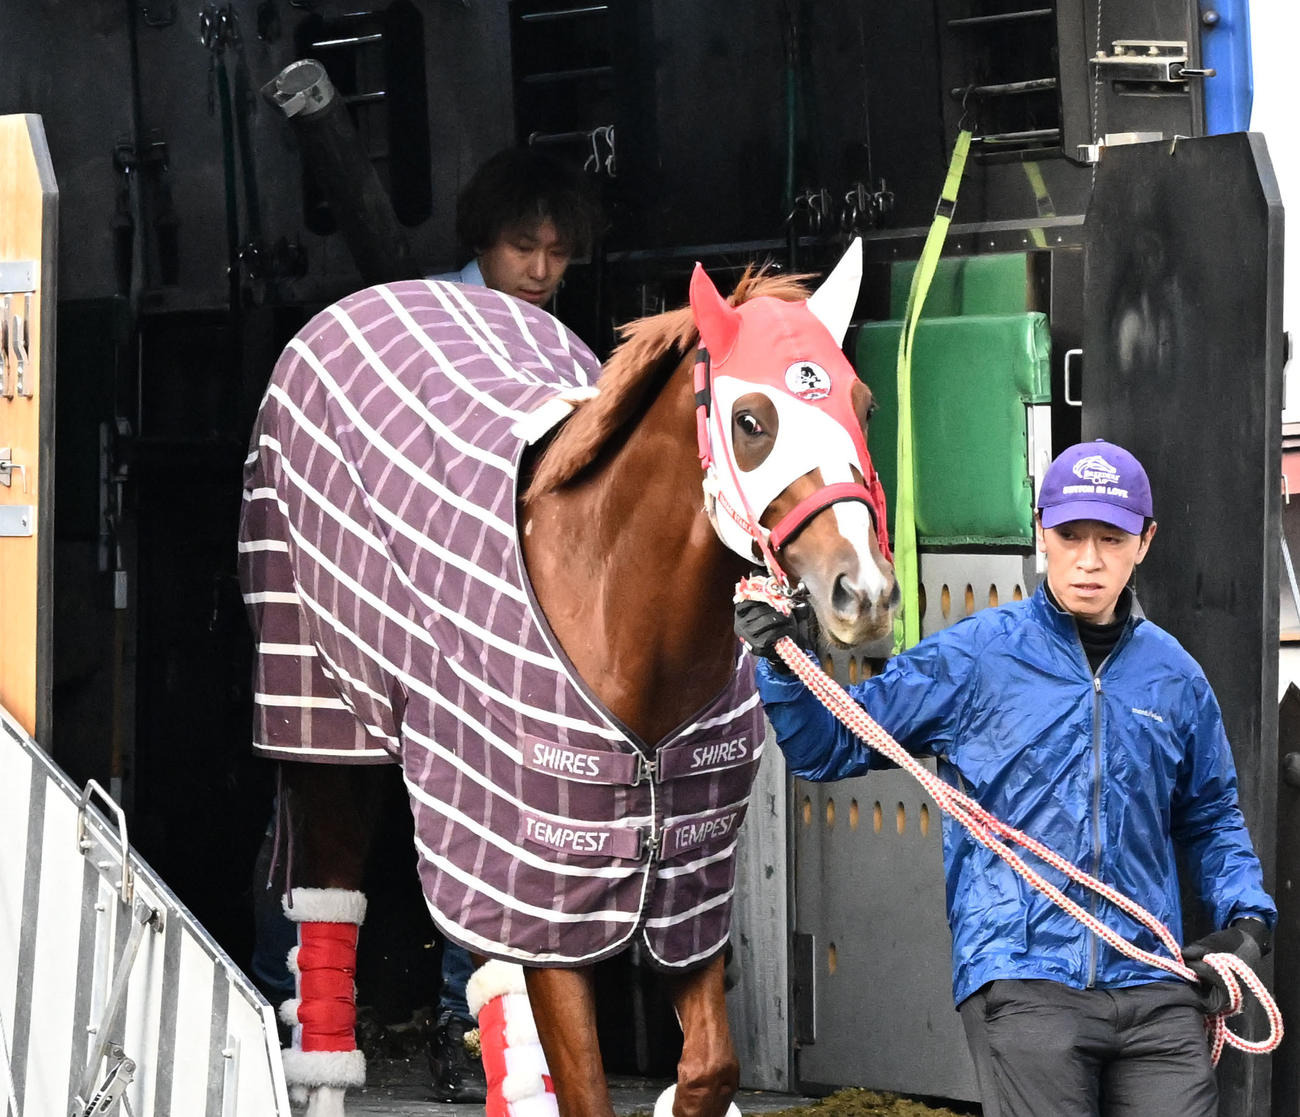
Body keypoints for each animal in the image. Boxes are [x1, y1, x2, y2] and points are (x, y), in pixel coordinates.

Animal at [237, 238, 897, 1117]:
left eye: (865, 403)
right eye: (751, 420)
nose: (863, 591)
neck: (619, 618)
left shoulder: (679, 887)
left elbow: (708, 1067)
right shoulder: (555, 904)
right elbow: (585, 1086)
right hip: (322, 722)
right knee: (329, 910)